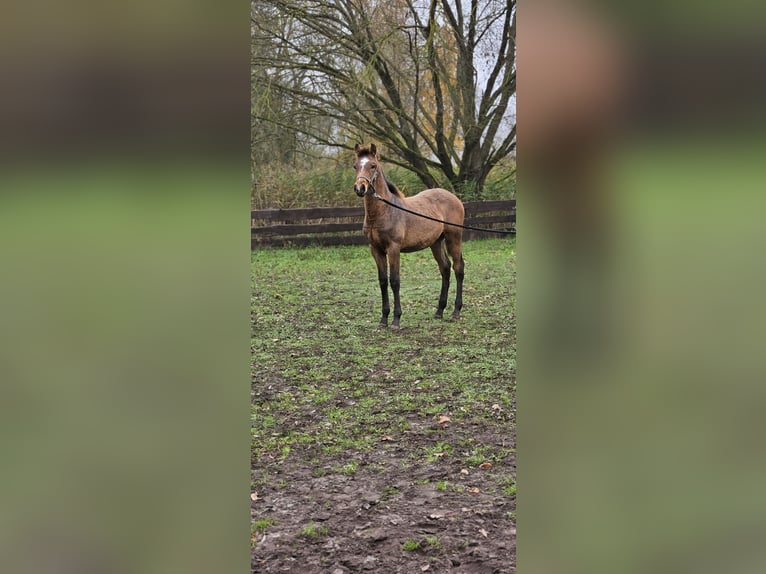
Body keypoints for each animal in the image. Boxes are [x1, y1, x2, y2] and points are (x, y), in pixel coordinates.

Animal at [353, 143, 465, 328]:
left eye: (373, 166)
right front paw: (383, 319)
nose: (360, 188)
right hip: (436, 242)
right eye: (355, 166)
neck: (385, 211)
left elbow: (394, 281)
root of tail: (454, 197)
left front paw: (396, 320)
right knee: (445, 268)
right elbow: (383, 281)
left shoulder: (394, 248)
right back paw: (439, 311)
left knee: (458, 268)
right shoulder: (375, 249)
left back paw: (456, 311)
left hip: (453, 238)